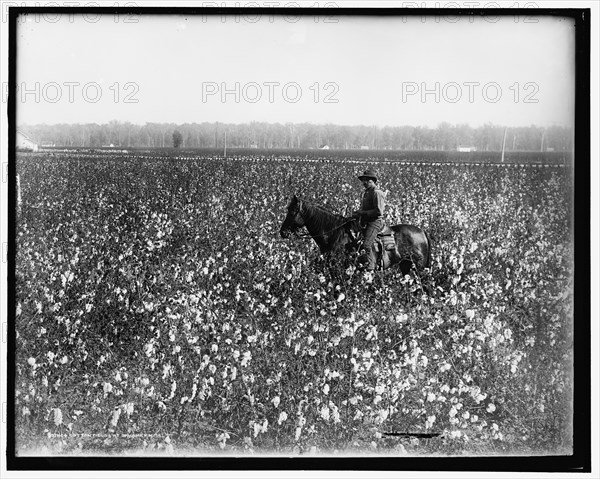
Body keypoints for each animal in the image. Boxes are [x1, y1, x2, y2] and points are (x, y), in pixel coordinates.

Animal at [278, 196, 428, 278]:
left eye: (292, 211)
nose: (283, 232)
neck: (334, 234)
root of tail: (422, 232)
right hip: (406, 265)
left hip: (418, 267)